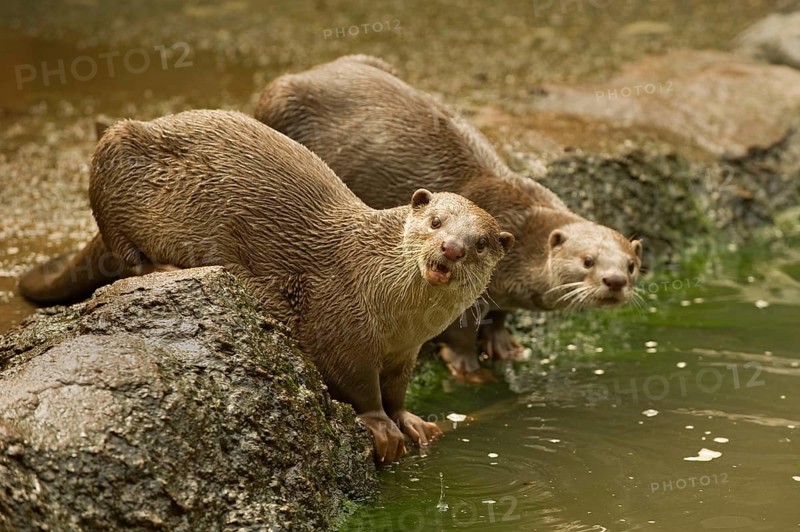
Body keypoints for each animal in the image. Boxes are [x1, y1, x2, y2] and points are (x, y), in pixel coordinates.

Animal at [18, 110, 514, 463]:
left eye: (481, 242)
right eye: (436, 222)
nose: (452, 248)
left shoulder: (404, 353)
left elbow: (395, 390)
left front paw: (410, 420)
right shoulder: (338, 323)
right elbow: (357, 384)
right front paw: (380, 427)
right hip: (112, 160)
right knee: (123, 254)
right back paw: (164, 266)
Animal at [254, 55, 643, 380]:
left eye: (631, 265)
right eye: (587, 260)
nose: (614, 281)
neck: (522, 229)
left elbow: (500, 315)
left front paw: (505, 345)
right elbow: (458, 332)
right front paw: (467, 368)